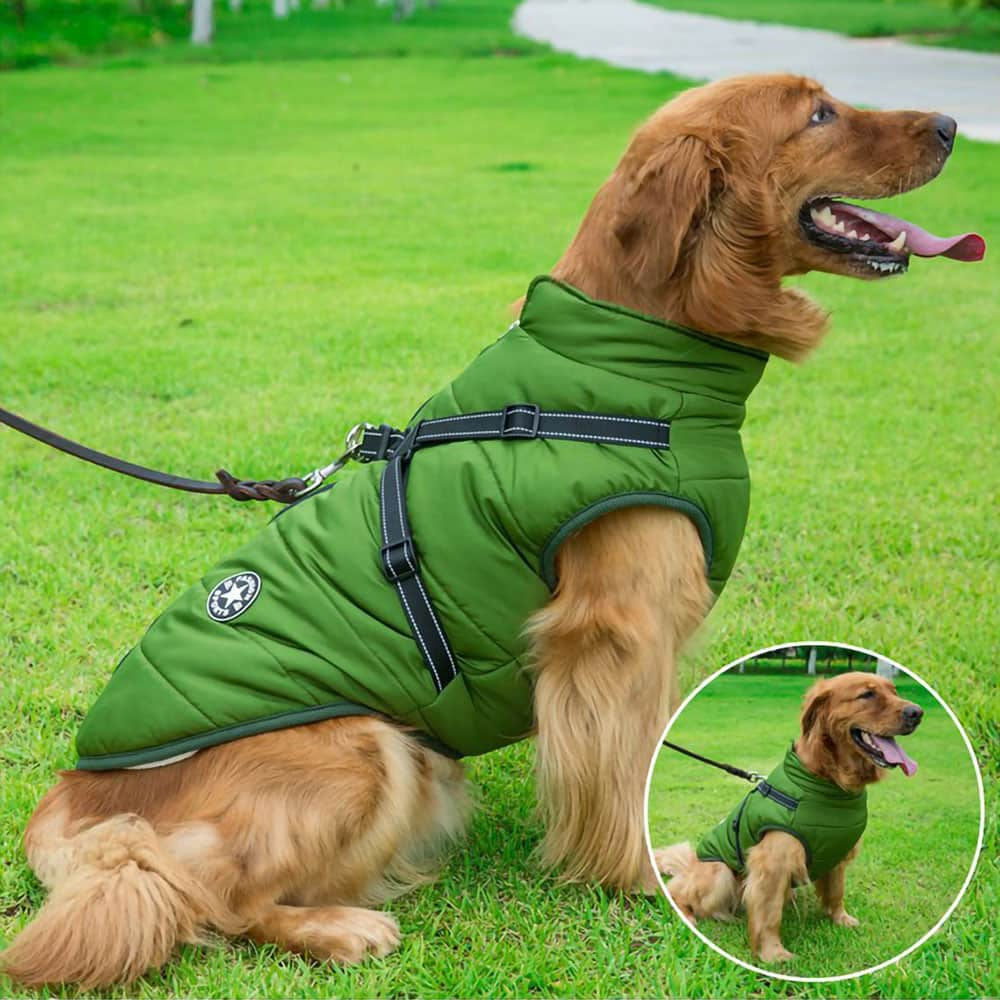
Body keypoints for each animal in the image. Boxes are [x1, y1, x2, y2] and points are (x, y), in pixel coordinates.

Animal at [656, 672, 920, 960]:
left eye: (894, 691)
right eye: (867, 694)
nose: (917, 712)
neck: (830, 784)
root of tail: (691, 865)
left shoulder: (837, 853)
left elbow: (836, 892)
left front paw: (840, 919)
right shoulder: (772, 862)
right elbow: (769, 913)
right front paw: (772, 953)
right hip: (719, 873)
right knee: (681, 892)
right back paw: (690, 914)